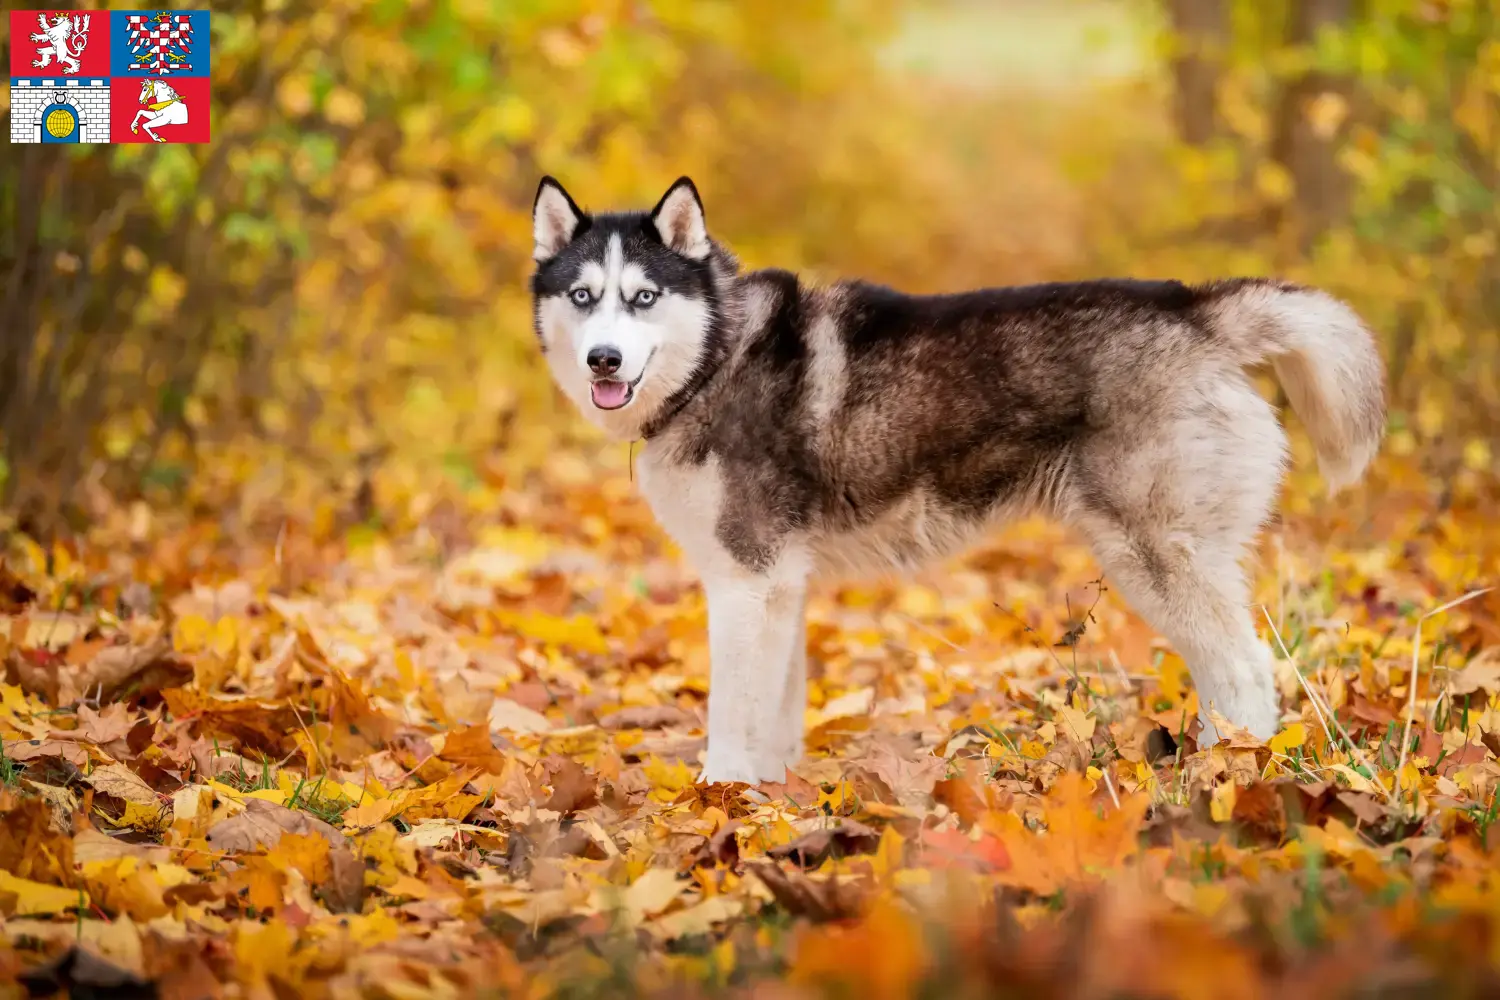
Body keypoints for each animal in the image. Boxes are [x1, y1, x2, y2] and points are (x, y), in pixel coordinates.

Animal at [531, 176, 1380, 785]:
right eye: (583, 297)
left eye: (643, 298)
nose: (603, 359)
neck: (715, 359)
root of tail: (1197, 310)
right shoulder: (781, 585)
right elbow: (776, 712)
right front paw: (769, 796)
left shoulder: (746, 580)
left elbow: (731, 713)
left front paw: (722, 796)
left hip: (1155, 557)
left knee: (1245, 670)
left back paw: (1229, 775)